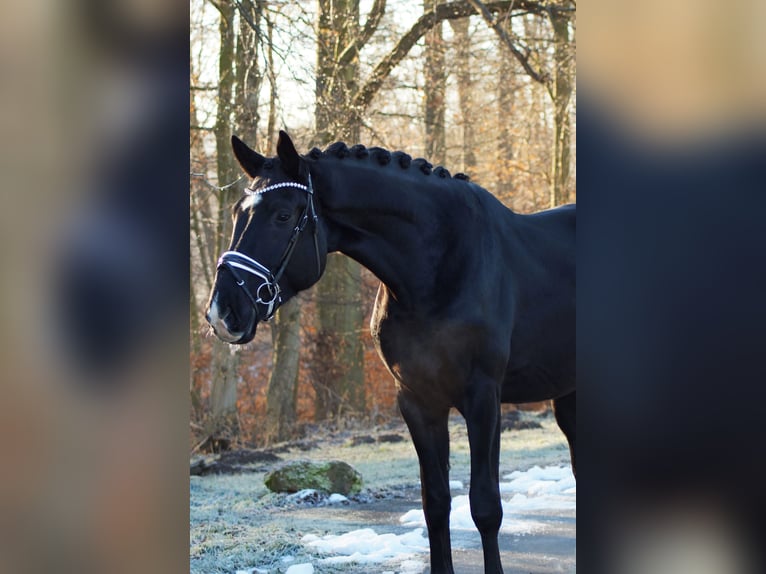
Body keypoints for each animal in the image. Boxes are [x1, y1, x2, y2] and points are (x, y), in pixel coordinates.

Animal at [206, 132, 576, 574]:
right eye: (236, 213)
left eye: (281, 215)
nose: (223, 312)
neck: (436, 270)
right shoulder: (417, 401)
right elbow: (435, 504)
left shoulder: (484, 399)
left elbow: (486, 506)